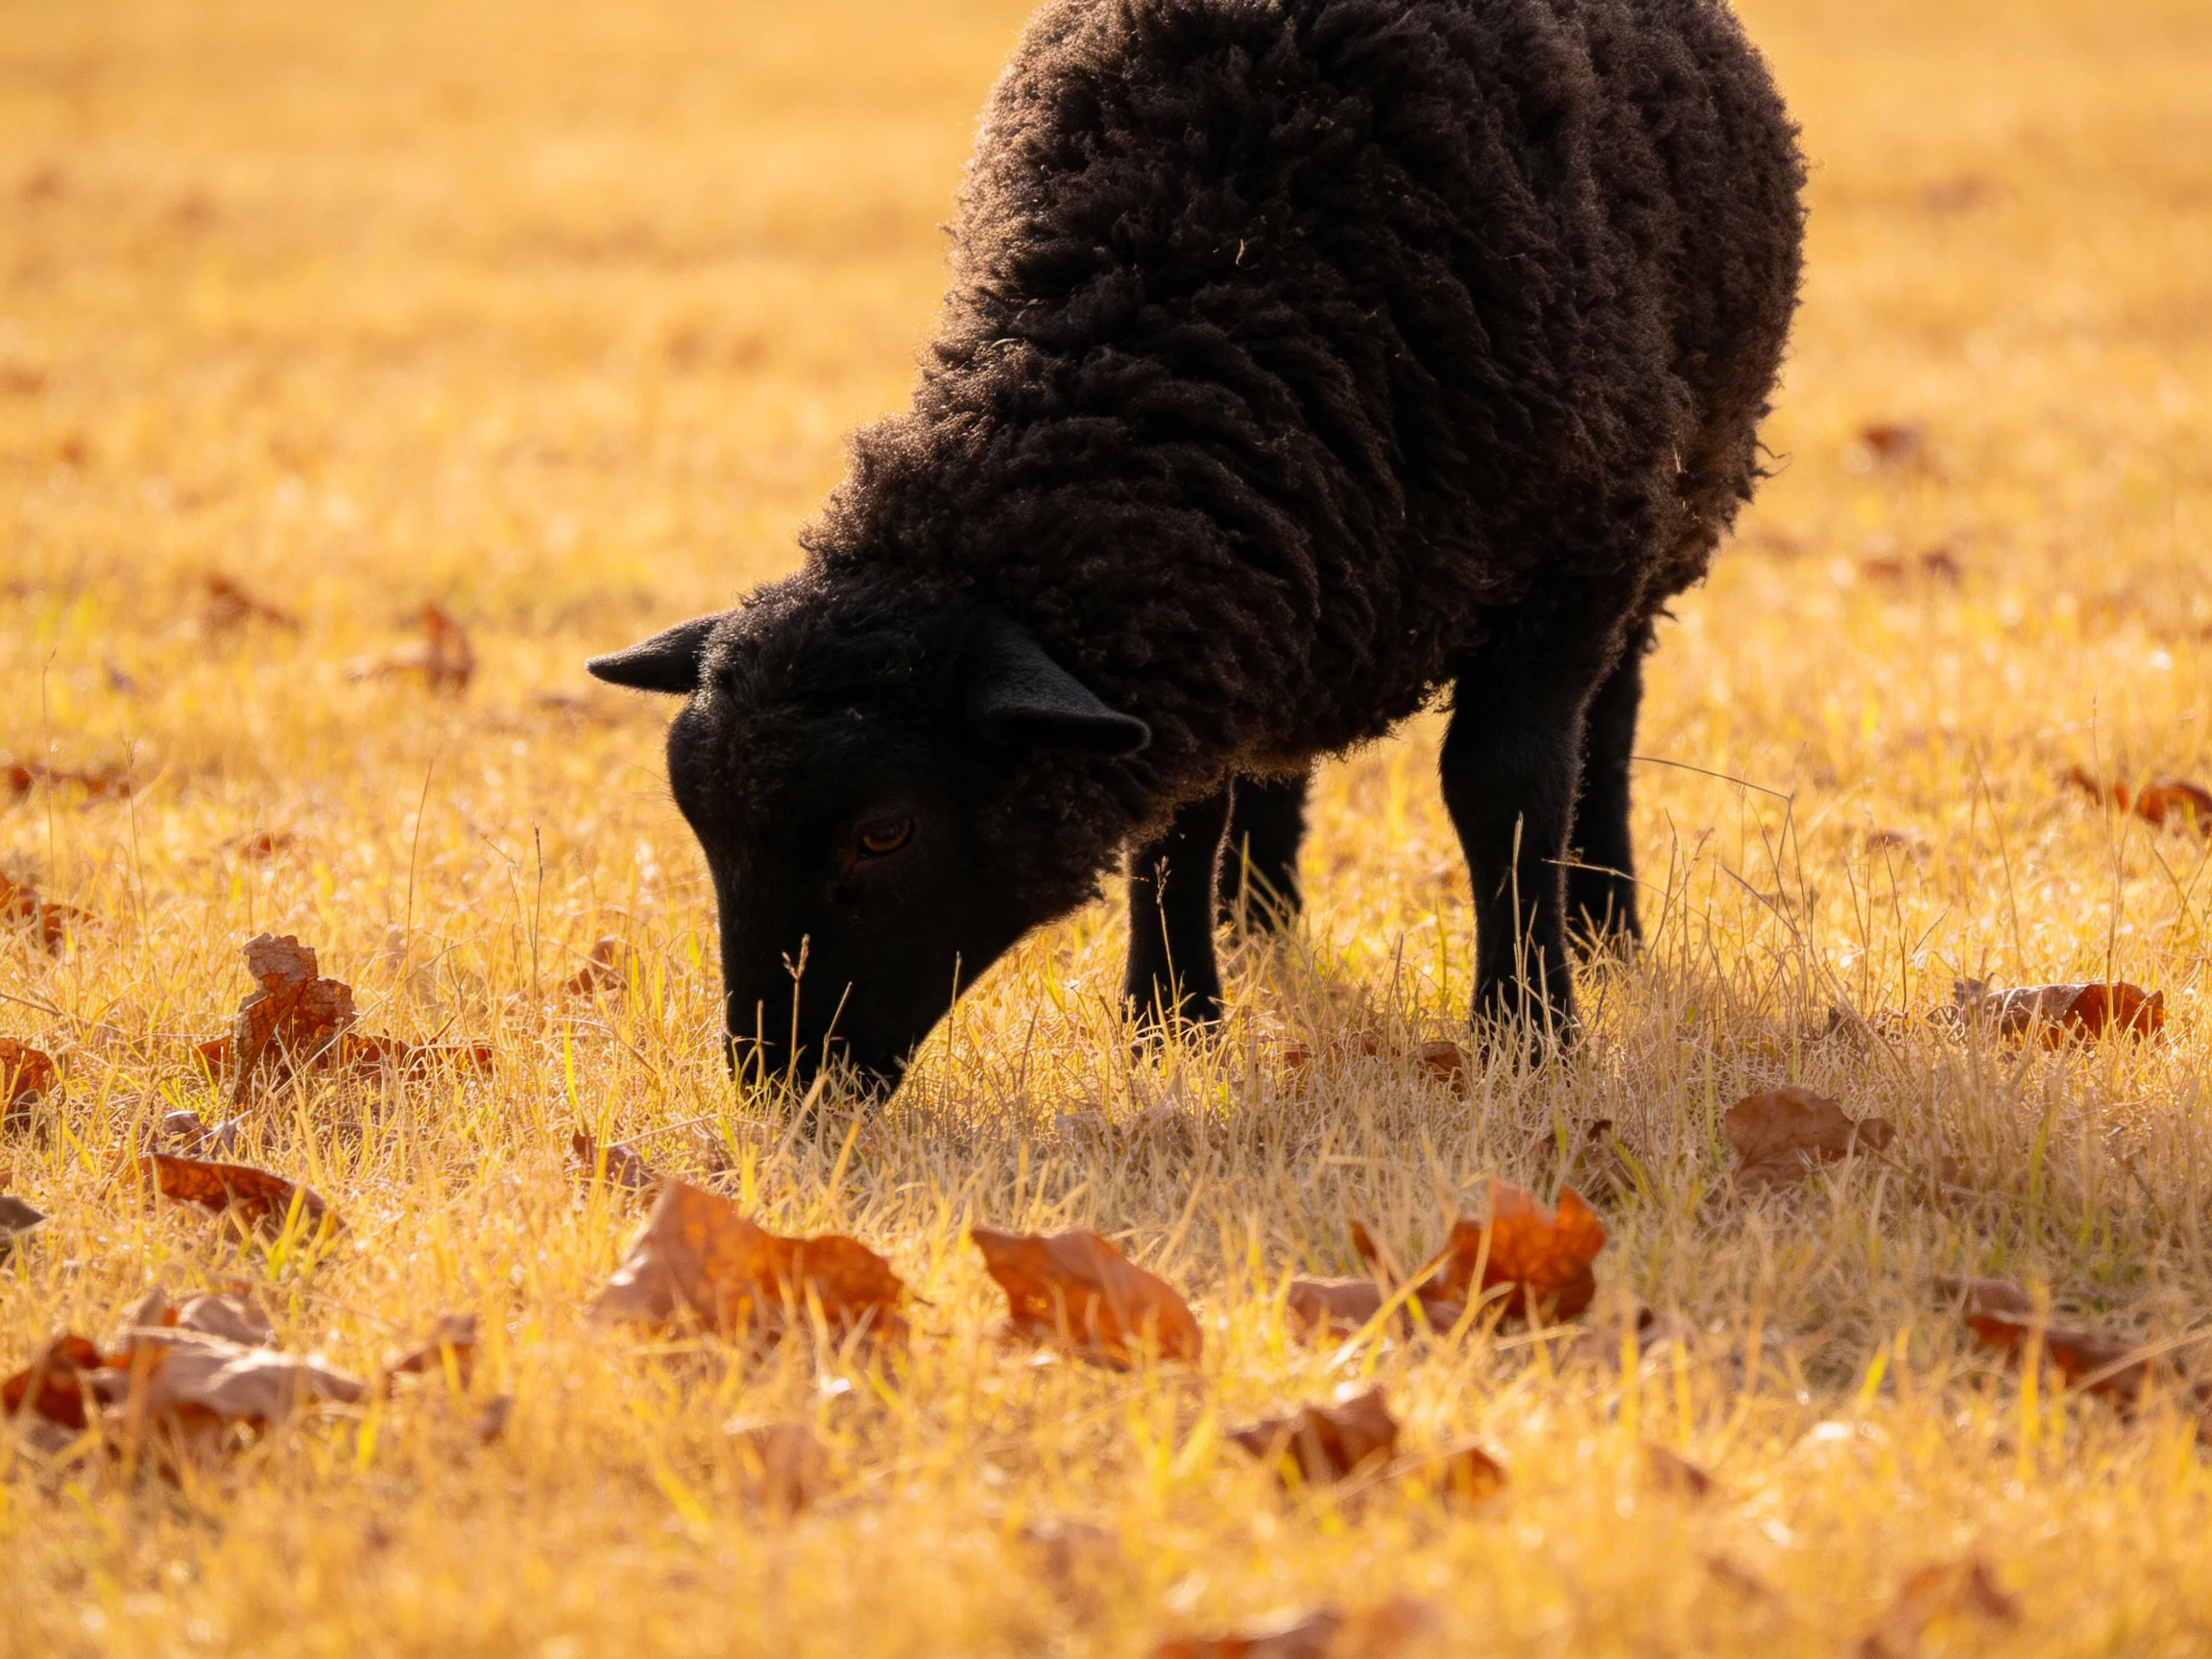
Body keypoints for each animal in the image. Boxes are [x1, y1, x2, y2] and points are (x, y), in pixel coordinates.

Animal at [589, 0, 1805, 1090]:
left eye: (885, 832)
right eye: (701, 826)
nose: (777, 1080)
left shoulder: (1572, 562)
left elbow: (1504, 788)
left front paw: (1529, 1029)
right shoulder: (1205, 602)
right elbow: (1179, 810)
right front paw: (1172, 1023)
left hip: (1676, 502)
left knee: (1613, 709)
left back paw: (1601, 920)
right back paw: (1253, 909)